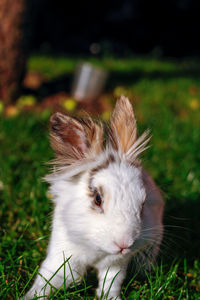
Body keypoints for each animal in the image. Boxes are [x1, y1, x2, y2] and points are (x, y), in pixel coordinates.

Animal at [23, 96, 164, 300]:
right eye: (98, 199)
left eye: (143, 202)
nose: (124, 244)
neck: (95, 248)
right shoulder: (62, 257)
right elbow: (49, 280)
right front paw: (30, 296)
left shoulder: (115, 265)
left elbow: (111, 282)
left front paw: (110, 297)